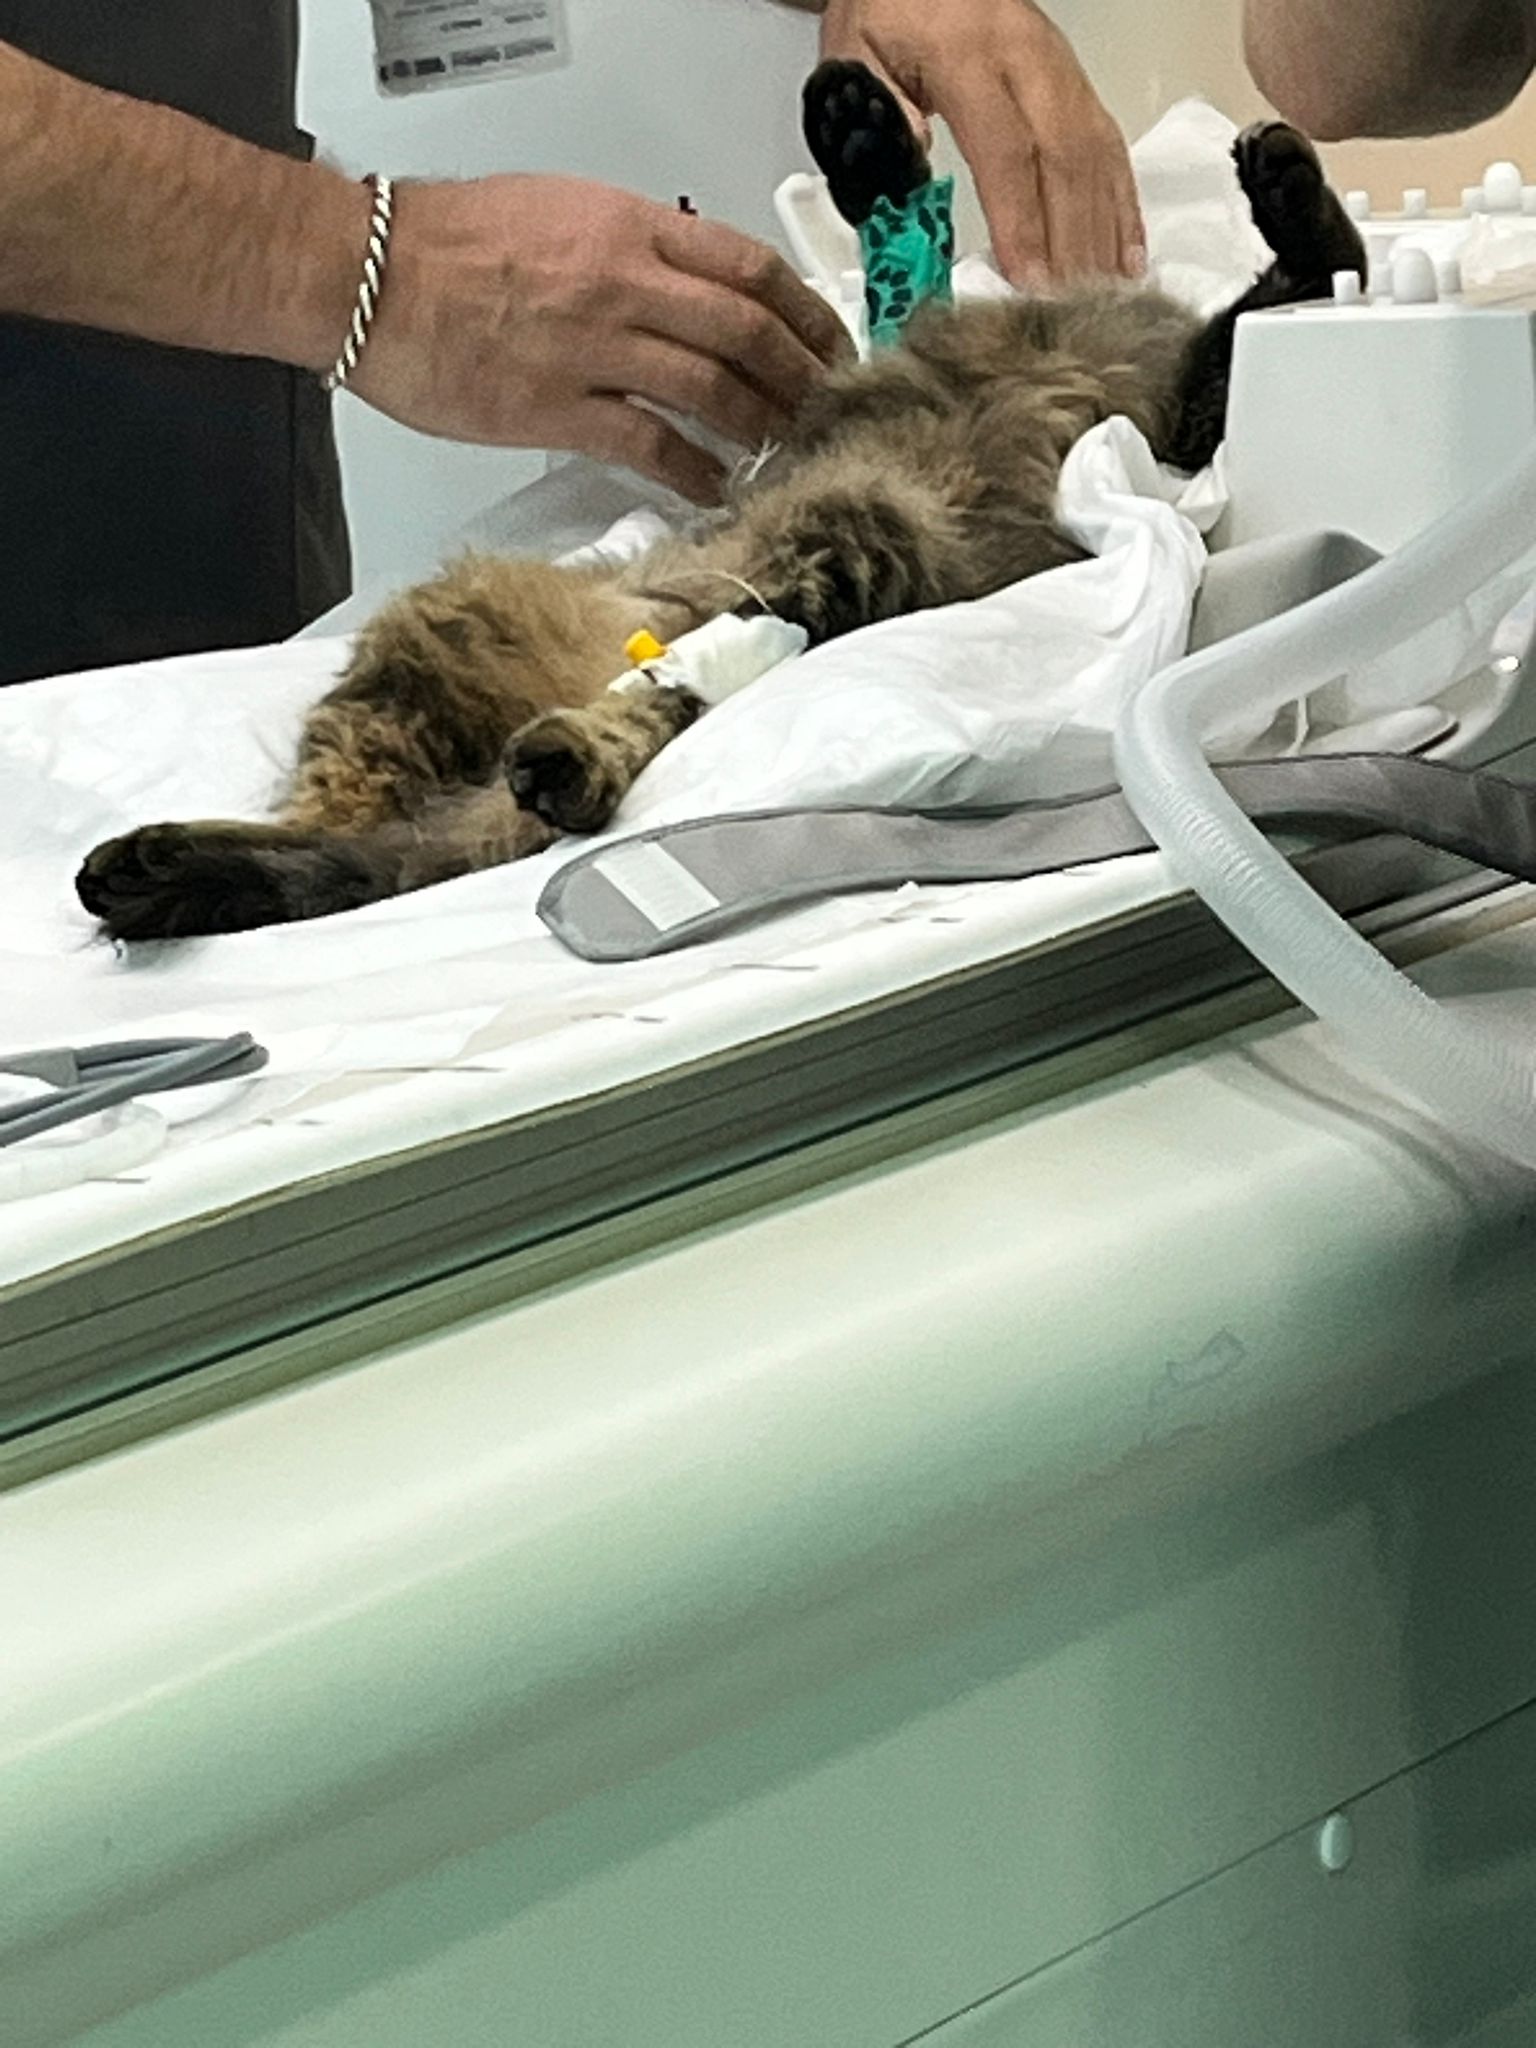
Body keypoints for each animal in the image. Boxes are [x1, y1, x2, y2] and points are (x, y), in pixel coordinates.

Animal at [76, 65, 1364, 940]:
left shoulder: (1172, 421)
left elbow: (1262, 312)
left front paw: (1299, 210)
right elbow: (912, 255)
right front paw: (861, 128)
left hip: (827, 548)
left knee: (551, 766)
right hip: (448, 646)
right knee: (375, 830)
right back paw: (185, 864)